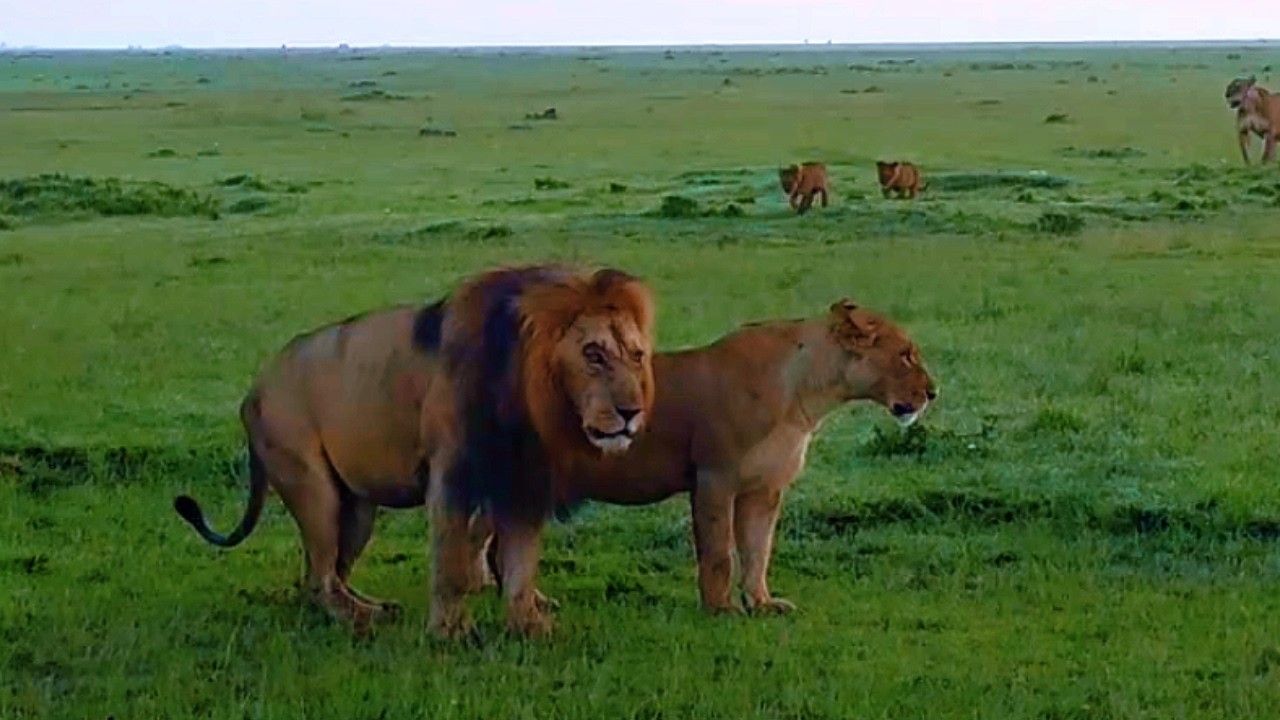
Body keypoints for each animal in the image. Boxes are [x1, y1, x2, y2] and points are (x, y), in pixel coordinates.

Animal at [172, 264, 657, 639]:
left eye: (636, 356)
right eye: (593, 354)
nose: (631, 412)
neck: (534, 399)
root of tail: (253, 389)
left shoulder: (523, 477)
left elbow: (520, 564)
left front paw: (531, 627)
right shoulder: (451, 475)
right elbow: (452, 562)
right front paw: (451, 633)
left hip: (357, 509)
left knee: (324, 575)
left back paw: (375, 608)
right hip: (311, 485)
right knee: (318, 580)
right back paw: (362, 619)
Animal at [479, 299, 936, 616]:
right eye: (906, 355)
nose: (933, 393)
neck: (805, 393)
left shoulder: (765, 489)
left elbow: (758, 550)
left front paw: (762, 604)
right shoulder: (715, 477)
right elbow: (719, 553)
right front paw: (721, 609)